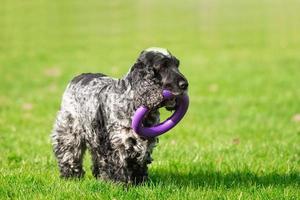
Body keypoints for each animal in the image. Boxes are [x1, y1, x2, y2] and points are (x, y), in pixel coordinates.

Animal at [50, 47, 189, 184]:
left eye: (177, 64)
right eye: (163, 66)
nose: (185, 84)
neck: (132, 101)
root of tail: (78, 77)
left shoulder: (145, 142)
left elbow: (139, 165)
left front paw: (141, 183)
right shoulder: (118, 142)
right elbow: (119, 166)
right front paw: (121, 184)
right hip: (69, 132)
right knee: (69, 154)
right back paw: (71, 176)